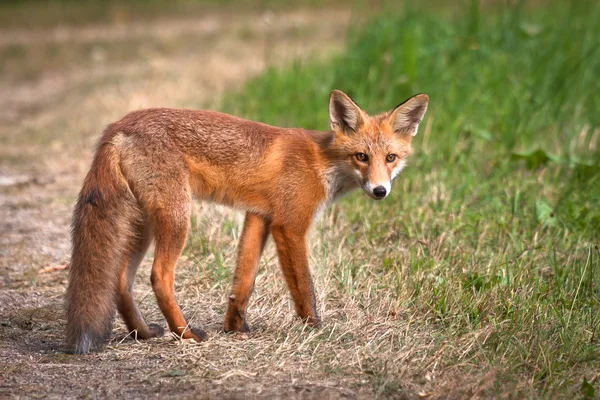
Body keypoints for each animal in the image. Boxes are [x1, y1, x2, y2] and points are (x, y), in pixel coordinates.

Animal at [67, 88, 426, 354]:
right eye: (361, 157)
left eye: (390, 158)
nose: (380, 190)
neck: (322, 162)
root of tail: (118, 124)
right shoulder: (289, 226)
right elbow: (304, 287)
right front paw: (314, 328)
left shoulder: (259, 217)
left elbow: (244, 281)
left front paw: (234, 327)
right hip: (176, 216)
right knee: (159, 276)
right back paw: (186, 334)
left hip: (144, 223)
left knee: (120, 281)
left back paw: (143, 333)